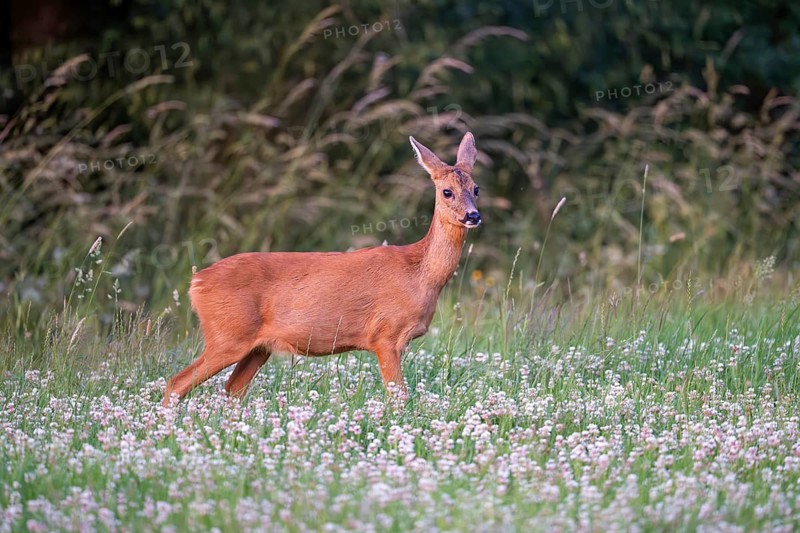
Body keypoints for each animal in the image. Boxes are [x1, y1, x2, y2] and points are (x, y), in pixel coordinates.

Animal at [162, 132, 481, 406]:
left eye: (476, 189)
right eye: (447, 191)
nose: (473, 215)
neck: (420, 274)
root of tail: (196, 282)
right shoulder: (385, 335)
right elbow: (399, 397)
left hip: (256, 348)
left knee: (232, 389)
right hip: (228, 335)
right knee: (176, 382)